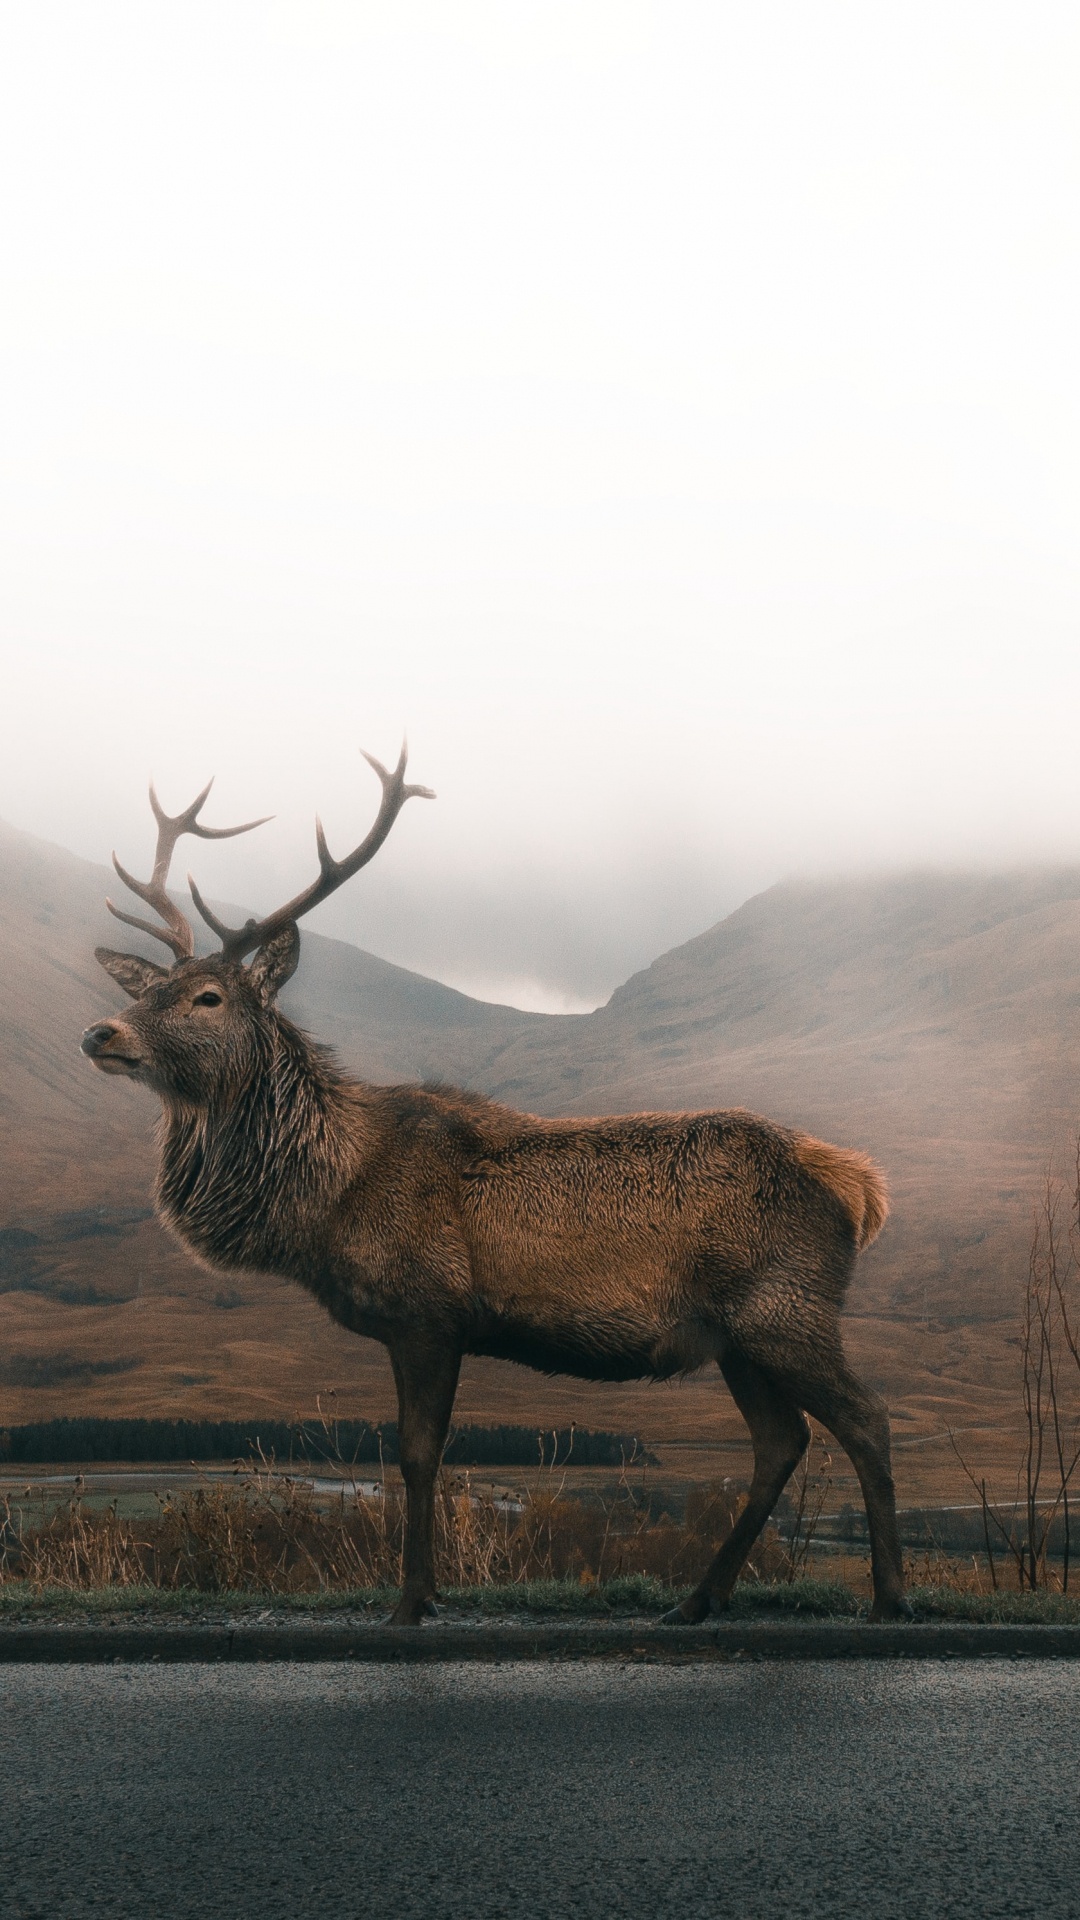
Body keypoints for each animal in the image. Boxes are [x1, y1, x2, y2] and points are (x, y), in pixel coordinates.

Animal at [81, 746, 909, 1625]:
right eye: (144, 990)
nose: (101, 1032)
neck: (326, 1200)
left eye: (207, 997)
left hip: (786, 1308)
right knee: (782, 1441)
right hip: (736, 1336)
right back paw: (696, 1600)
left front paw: (411, 1601)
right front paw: (427, 1590)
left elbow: (417, 1457)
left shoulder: (430, 1312)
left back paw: (889, 1595)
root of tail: (859, 1187)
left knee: (865, 1417)